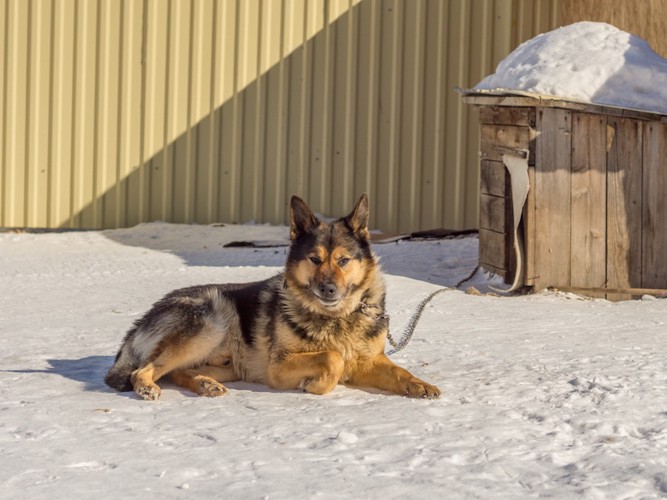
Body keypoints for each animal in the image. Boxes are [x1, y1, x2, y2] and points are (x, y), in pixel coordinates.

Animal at [104, 193, 440, 400]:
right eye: (315, 260)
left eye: (344, 261)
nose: (328, 290)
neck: (337, 318)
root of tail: (142, 320)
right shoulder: (279, 367)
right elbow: (332, 358)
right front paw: (315, 384)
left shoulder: (370, 361)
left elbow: (399, 372)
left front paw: (420, 385)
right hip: (211, 322)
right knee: (143, 370)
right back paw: (148, 387)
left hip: (227, 363)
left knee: (177, 372)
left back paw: (205, 384)